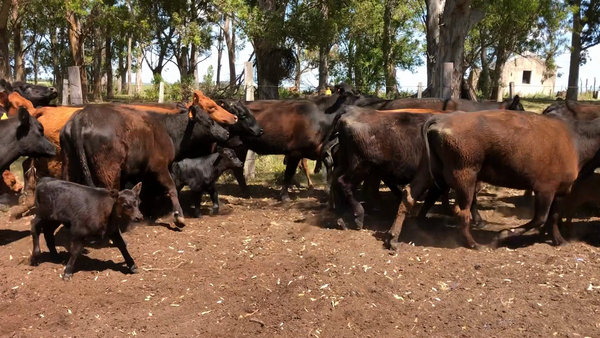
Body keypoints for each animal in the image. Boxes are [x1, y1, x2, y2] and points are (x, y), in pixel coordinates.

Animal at [390, 109, 600, 250]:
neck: (575, 138)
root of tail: (440, 118)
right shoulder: (545, 190)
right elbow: (540, 218)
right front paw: (501, 236)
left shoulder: (560, 191)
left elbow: (553, 217)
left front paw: (560, 241)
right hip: (465, 175)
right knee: (462, 211)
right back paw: (475, 244)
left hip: (428, 170)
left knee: (409, 196)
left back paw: (393, 238)